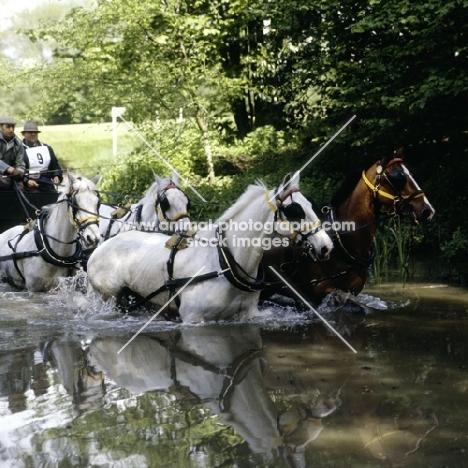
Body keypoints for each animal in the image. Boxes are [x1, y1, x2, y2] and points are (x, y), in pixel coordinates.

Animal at [88, 172, 334, 322]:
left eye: (311, 205)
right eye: (294, 211)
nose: (326, 246)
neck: (225, 262)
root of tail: (103, 245)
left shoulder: (247, 316)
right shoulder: (192, 318)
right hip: (109, 298)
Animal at [260, 151, 436, 308]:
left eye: (411, 174)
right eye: (398, 177)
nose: (428, 211)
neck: (341, 241)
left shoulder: (349, 292)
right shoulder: (320, 294)